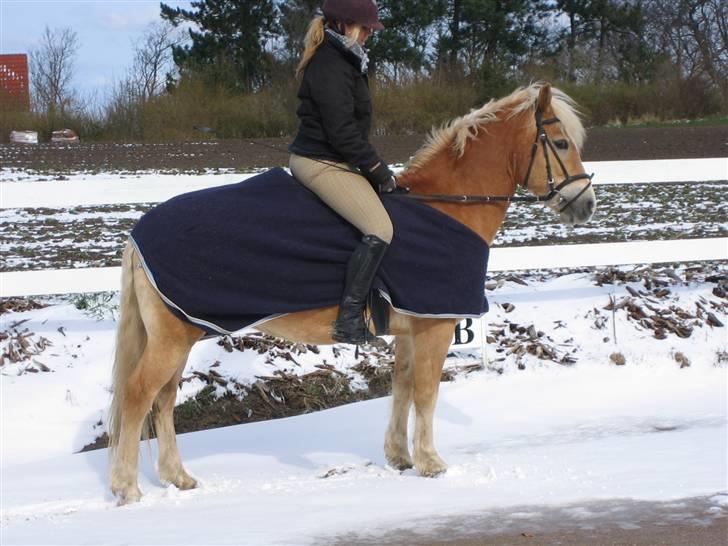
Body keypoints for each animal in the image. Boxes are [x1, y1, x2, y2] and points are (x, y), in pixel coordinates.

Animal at [108, 83, 596, 504]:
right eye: (561, 143)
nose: (585, 205)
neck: (448, 209)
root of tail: (138, 233)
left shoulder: (409, 331)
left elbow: (401, 386)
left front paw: (400, 457)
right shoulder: (435, 328)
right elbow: (426, 392)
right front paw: (431, 463)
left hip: (183, 336)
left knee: (163, 400)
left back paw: (178, 477)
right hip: (172, 340)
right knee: (138, 395)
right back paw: (127, 488)